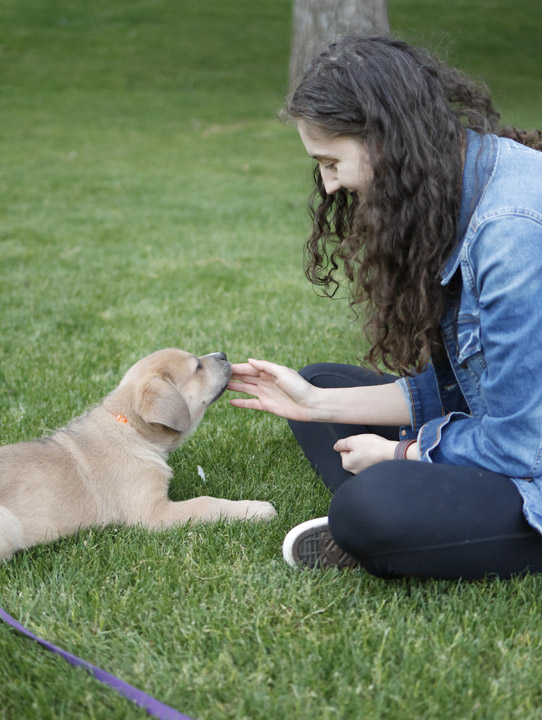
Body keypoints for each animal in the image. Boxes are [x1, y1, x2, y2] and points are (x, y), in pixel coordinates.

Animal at [0, 350, 278, 564]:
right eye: (197, 366)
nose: (223, 354)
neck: (132, 429)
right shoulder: (153, 514)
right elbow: (206, 503)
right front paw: (256, 509)